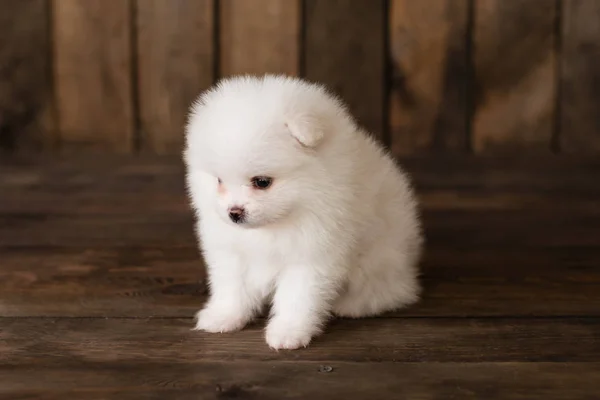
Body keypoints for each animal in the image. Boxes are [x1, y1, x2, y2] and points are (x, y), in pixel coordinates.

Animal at [183, 75, 422, 350]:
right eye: (219, 180)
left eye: (262, 182)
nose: (234, 212)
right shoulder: (231, 251)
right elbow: (232, 286)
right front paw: (223, 316)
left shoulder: (312, 254)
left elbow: (297, 297)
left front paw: (288, 332)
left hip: (380, 258)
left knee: (387, 291)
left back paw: (353, 305)